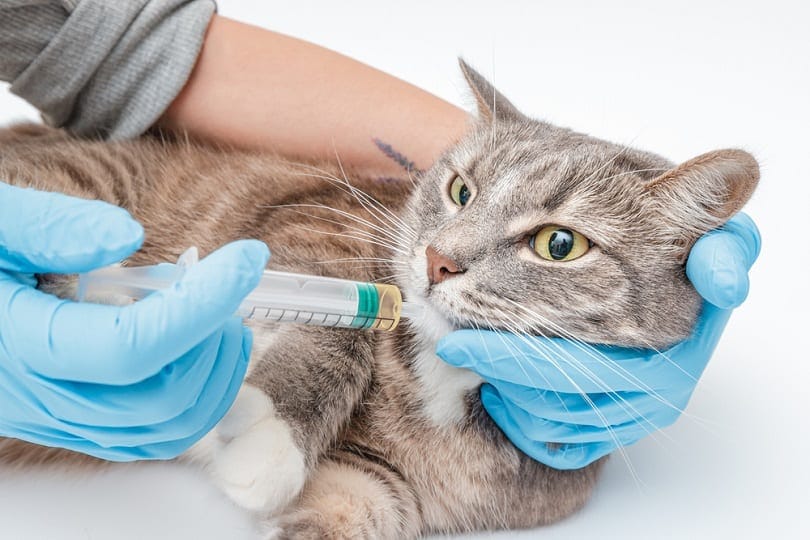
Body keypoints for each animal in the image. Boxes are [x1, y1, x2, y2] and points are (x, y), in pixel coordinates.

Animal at [0, 61, 756, 536]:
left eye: (559, 244)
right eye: (460, 191)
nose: (438, 260)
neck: (450, 385)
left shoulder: (368, 488)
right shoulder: (314, 223)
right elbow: (340, 331)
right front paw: (268, 438)